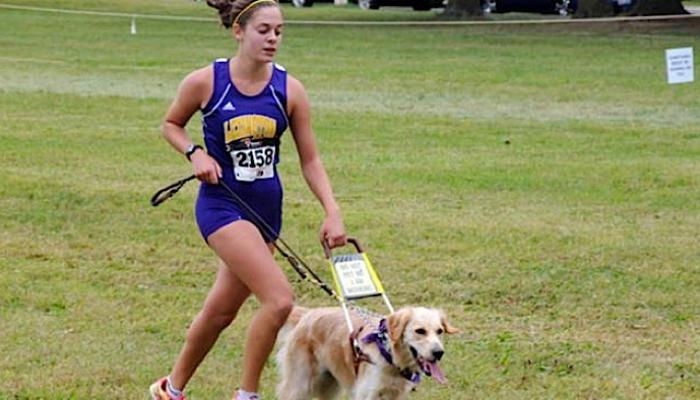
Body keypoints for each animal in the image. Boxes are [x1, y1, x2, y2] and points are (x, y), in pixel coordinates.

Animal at [276, 306, 456, 400]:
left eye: (439, 331)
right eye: (420, 331)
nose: (439, 352)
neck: (390, 357)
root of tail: (308, 313)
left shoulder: (395, 395)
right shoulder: (366, 394)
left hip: (329, 386)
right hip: (299, 385)